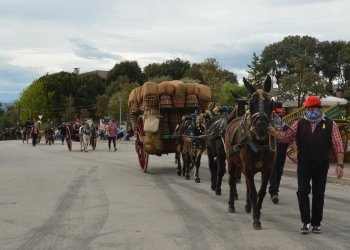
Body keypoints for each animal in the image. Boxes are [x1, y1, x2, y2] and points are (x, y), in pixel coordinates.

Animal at [224, 76, 278, 230]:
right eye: (251, 103)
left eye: (270, 103)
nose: (261, 129)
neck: (260, 143)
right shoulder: (247, 166)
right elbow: (253, 192)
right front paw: (256, 219)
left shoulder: (268, 169)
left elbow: (261, 192)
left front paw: (257, 210)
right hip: (231, 161)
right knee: (232, 181)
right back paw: (231, 205)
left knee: (247, 184)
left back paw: (248, 206)